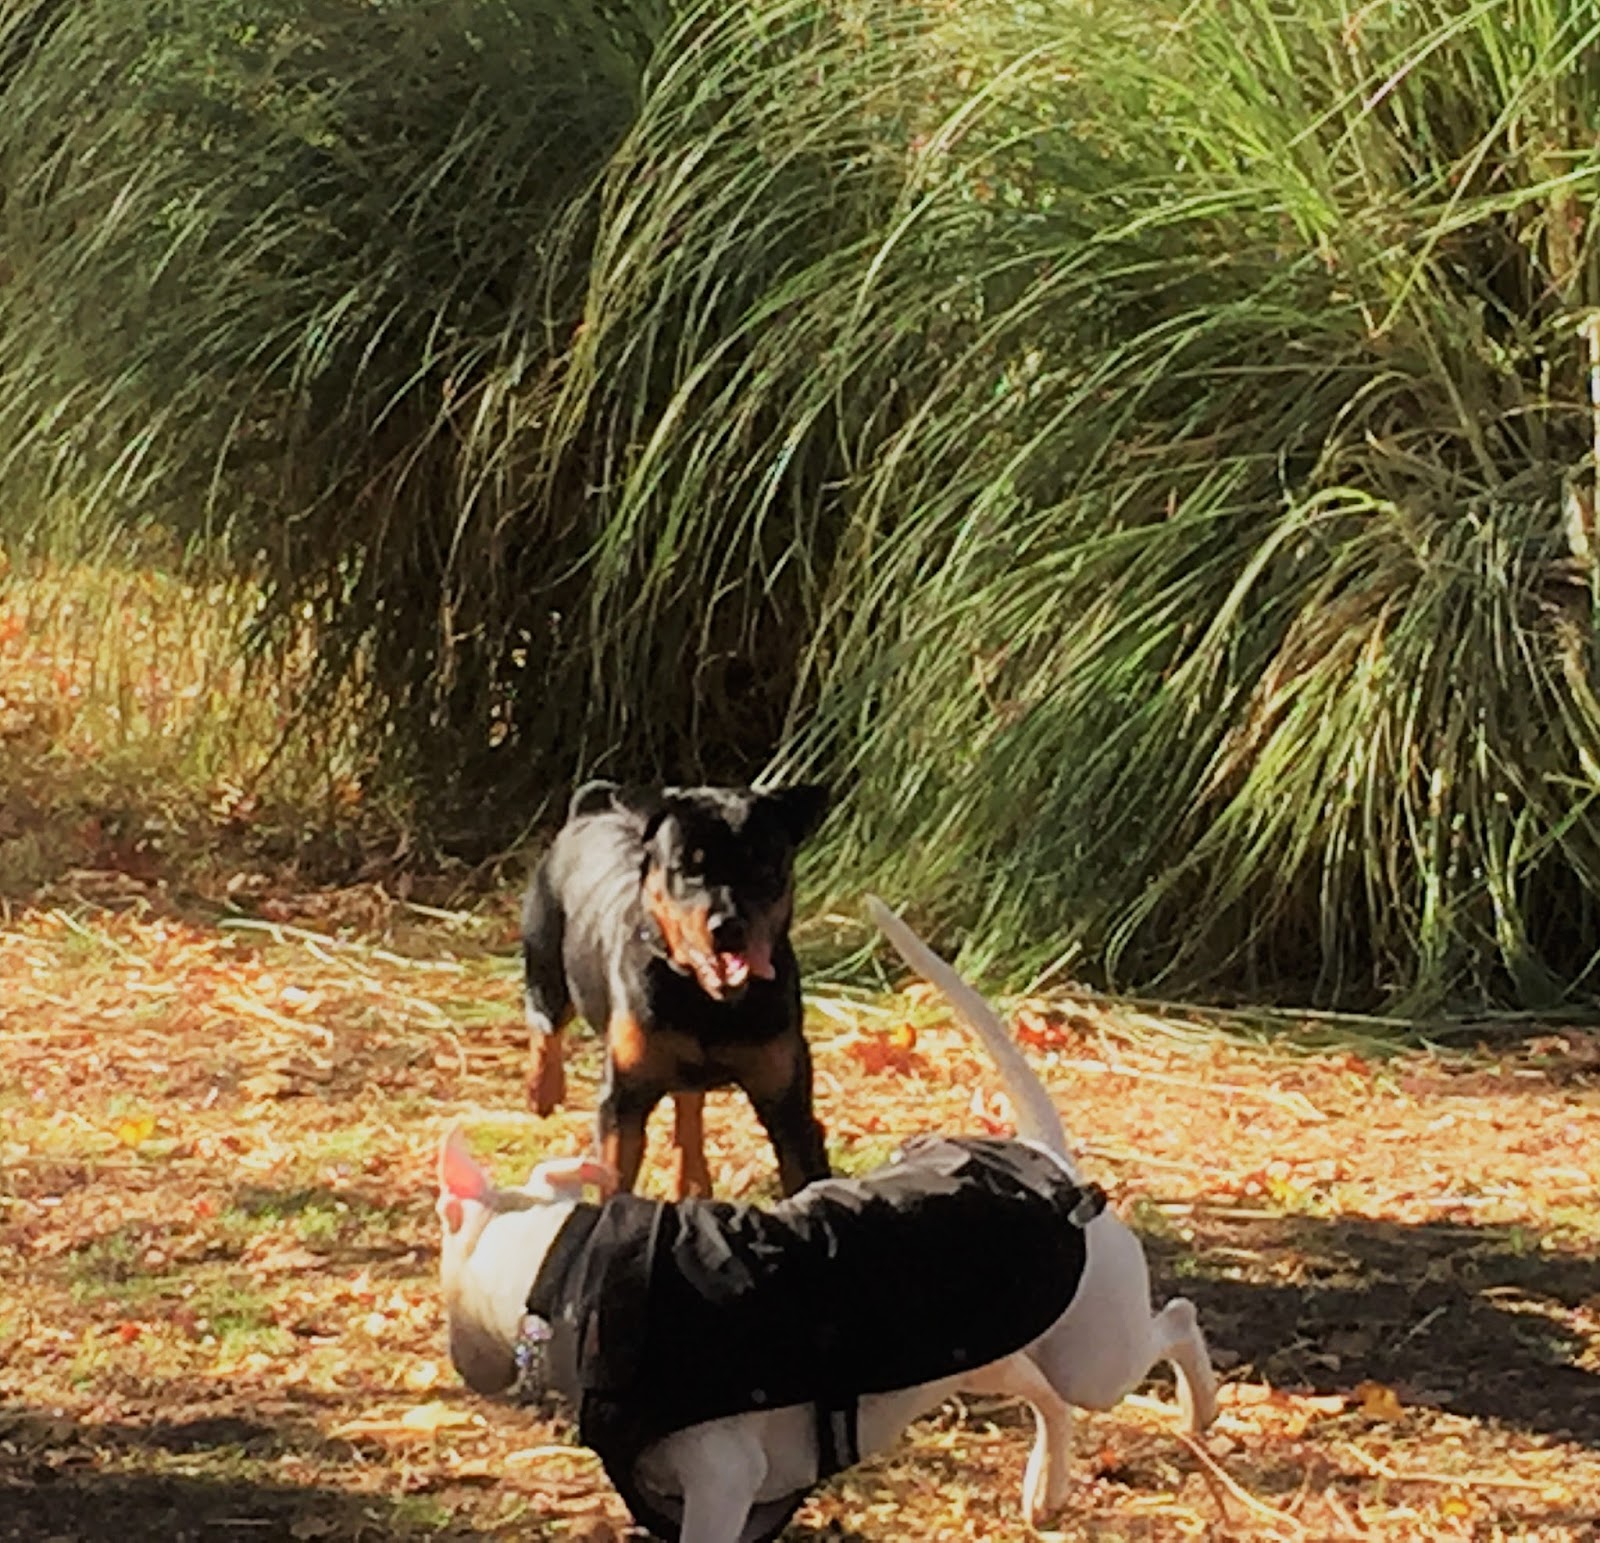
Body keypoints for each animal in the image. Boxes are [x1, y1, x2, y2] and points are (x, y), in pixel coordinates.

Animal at [438, 896, 1209, 1536]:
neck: (571, 1266)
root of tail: (1048, 1159)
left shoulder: (722, 1485)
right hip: (983, 1352)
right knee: (1046, 1395)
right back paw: (1044, 1490)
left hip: (1095, 1352)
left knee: (1171, 1323)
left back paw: (1198, 1408)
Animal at [524, 784, 832, 1190]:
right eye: (687, 868)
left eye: (764, 865)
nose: (728, 926)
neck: (704, 1000)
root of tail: (585, 813)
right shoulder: (624, 1099)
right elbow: (614, 1178)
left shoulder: (787, 1102)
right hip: (546, 962)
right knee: (545, 1023)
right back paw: (543, 1089)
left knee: (689, 1103)